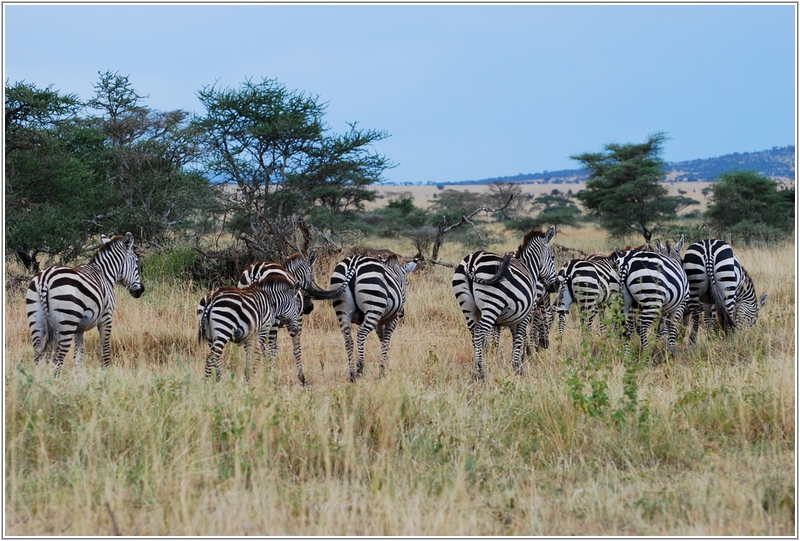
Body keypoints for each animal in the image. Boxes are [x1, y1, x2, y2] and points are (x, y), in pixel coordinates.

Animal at [25, 232, 145, 376]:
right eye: (137, 262)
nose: (141, 290)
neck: (105, 274)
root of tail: (45, 279)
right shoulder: (106, 317)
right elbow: (105, 348)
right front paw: (108, 373)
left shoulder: (79, 328)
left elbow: (78, 356)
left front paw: (79, 377)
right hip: (67, 323)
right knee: (57, 359)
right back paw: (55, 381)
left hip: (36, 320)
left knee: (38, 356)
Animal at [330, 252, 422, 382]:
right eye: (407, 283)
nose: (402, 313)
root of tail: (353, 263)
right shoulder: (392, 319)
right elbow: (386, 340)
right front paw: (383, 369)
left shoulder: (379, 321)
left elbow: (382, 340)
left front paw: (386, 363)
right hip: (373, 305)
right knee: (361, 333)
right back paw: (360, 367)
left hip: (342, 309)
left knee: (348, 339)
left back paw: (352, 374)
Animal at [454, 226, 560, 378]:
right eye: (552, 257)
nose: (556, 285)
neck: (529, 268)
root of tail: (472, 261)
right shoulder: (525, 313)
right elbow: (520, 336)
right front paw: (518, 366)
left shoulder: (511, 317)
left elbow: (509, 337)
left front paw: (503, 358)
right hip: (492, 303)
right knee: (479, 332)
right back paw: (481, 371)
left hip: (467, 306)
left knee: (474, 333)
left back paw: (478, 367)